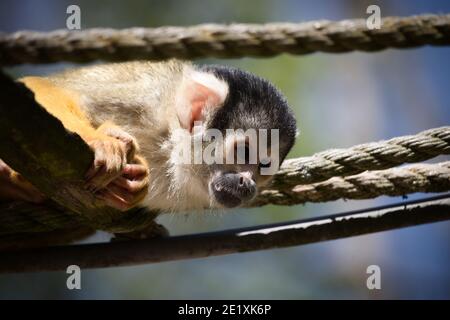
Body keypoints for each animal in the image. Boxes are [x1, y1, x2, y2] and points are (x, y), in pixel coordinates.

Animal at [0, 61, 298, 212]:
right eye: (245, 152)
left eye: (263, 166)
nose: (247, 183)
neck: (169, 143)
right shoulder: (146, 94)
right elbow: (41, 87)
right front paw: (100, 142)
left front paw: (135, 186)